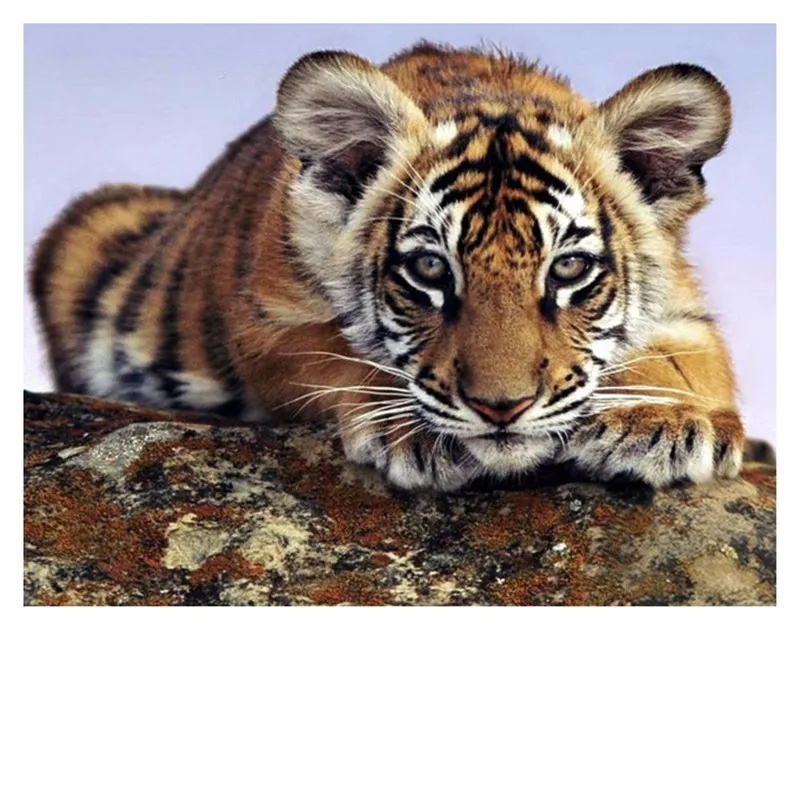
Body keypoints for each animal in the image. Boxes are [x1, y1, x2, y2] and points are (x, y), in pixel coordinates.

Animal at [30, 42, 745, 491]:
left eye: (568, 270)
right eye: (429, 269)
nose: (502, 410)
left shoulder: (684, 312)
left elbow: (685, 363)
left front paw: (665, 422)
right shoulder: (267, 322)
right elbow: (337, 353)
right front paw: (413, 430)